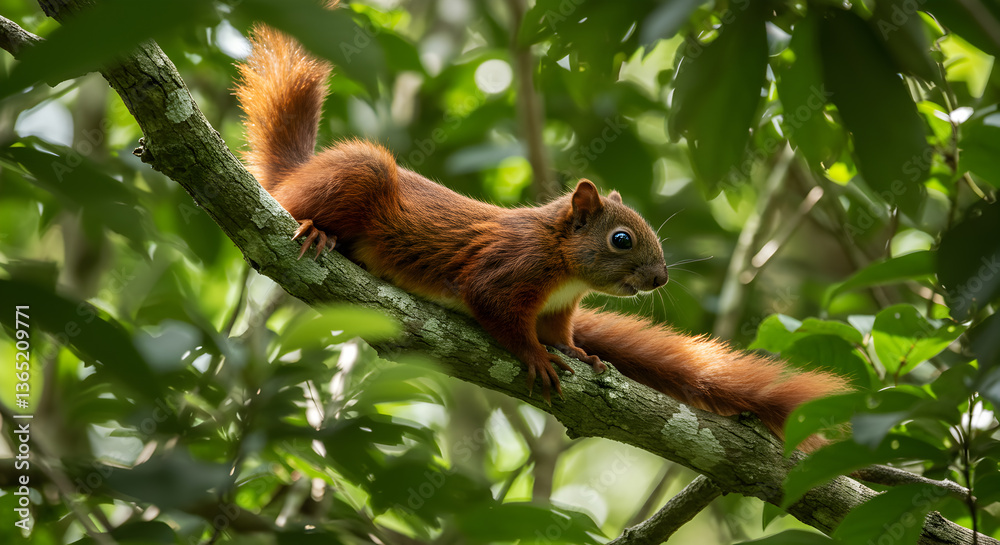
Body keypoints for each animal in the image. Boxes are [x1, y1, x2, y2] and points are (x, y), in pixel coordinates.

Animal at [234, 20, 849, 450]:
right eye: (621, 240)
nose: (659, 278)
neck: (563, 265)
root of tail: (296, 172)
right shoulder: (510, 268)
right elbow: (496, 309)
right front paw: (535, 356)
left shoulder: (559, 307)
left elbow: (559, 331)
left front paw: (580, 353)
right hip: (354, 175)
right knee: (308, 203)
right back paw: (315, 229)